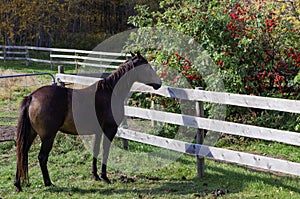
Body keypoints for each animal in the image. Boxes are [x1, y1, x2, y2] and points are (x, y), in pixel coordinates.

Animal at [14, 52, 162, 192]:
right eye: (147, 67)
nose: (159, 84)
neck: (110, 92)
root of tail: (32, 97)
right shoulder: (109, 130)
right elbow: (105, 151)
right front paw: (104, 177)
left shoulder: (98, 132)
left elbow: (96, 151)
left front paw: (95, 175)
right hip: (48, 137)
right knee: (42, 157)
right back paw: (48, 182)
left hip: (31, 134)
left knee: (22, 153)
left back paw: (18, 185)